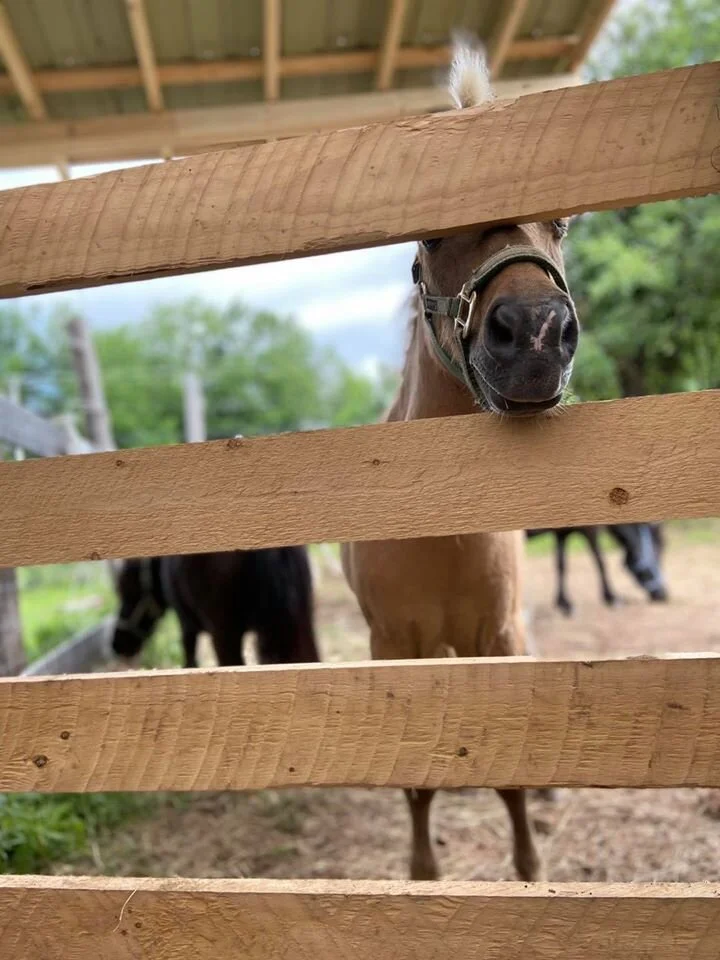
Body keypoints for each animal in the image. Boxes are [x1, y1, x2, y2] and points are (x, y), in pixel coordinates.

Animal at [112, 548, 319, 668]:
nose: (118, 645)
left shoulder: (186, 624)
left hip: (225, 634)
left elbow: (190, 659)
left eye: (126, 587)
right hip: (300, 625)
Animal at [342, 43, 580, 883]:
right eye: (432, 235)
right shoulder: (395, 648)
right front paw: (424, 874)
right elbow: (416, 781)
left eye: (560, 221)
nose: (536, 333)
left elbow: (511, 771)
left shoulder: (495, 635)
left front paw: (531, 870)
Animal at [526, 523, 668, 616]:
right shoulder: (590, 530)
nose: (663, 595)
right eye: (658, 552)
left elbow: (561, 565)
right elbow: (600, 561)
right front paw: (611, 596)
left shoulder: (562, 533)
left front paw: (563, 602)